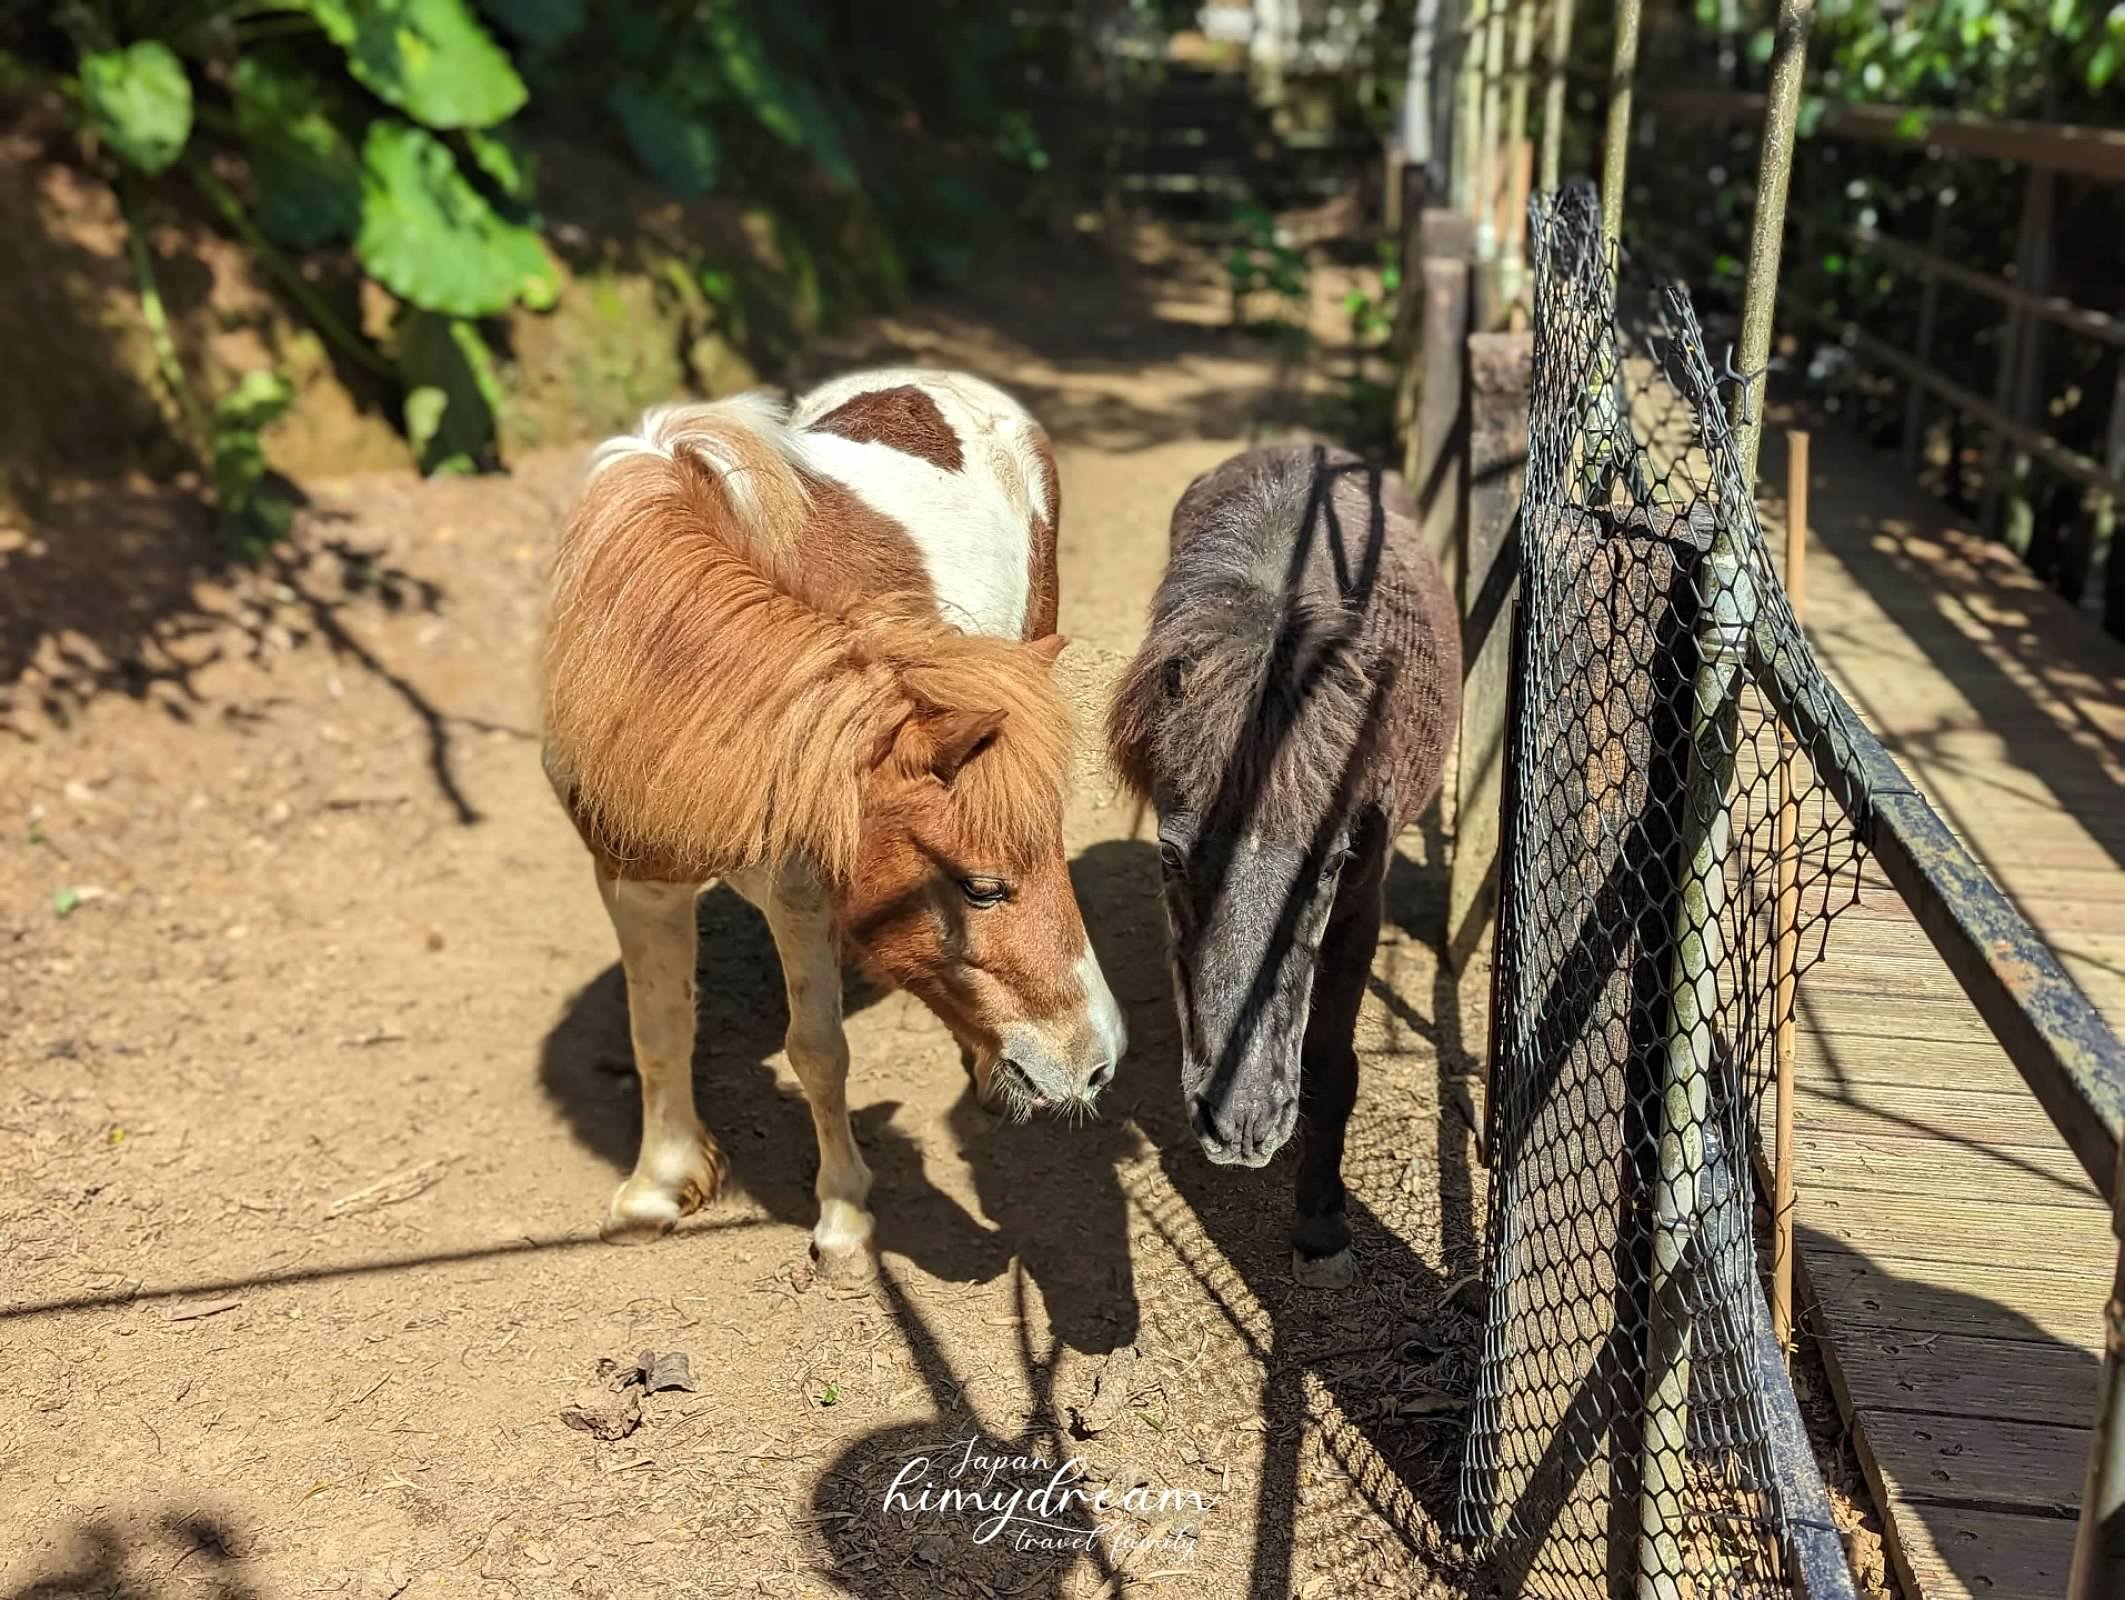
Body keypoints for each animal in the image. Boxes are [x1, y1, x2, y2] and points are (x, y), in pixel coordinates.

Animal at [539, 367, 1122, 1283]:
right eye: (979, 888)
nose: (1096, 1064)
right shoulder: (635, 880)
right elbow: (658, 1028)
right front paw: (656, 1192)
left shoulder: (801, 891)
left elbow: (817, 1049)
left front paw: (844, 1217)